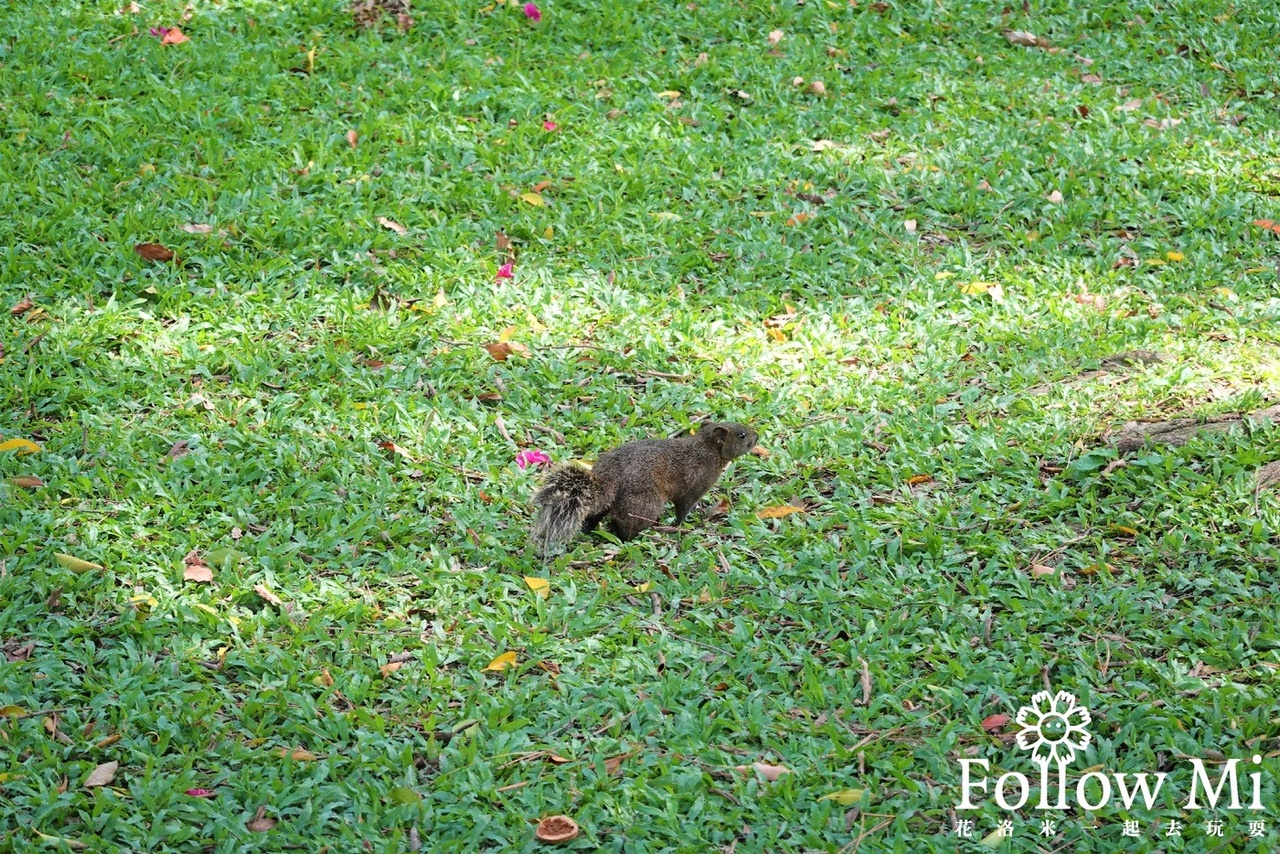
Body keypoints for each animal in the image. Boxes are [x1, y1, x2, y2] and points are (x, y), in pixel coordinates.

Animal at [532, 422, 757, 558]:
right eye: (742, 435)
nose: (758, 435)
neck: (707, 448)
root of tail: (607, 478)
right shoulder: (695, 486)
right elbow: (683, 508)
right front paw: (681, 525)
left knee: (593, 517)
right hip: (645, 503)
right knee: (626, 528)